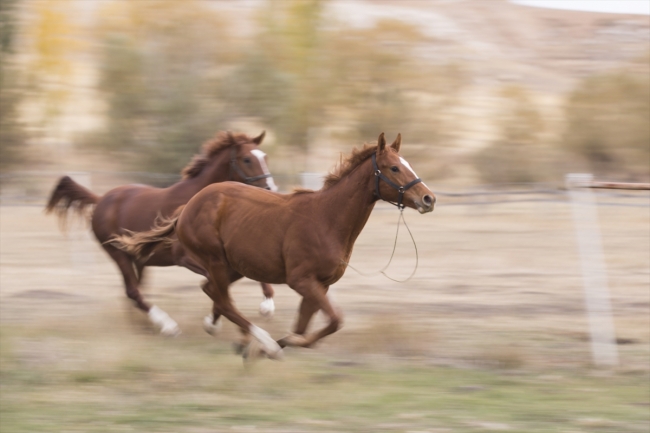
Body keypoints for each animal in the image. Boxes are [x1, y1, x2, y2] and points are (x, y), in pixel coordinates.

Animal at [44, 130, 278, 336]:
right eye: (247, 159)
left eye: (265, 156)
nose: (271, 190)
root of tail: (101, 199)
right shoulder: (188, 259)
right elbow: (219, 286)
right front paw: (214, 323)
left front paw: (266, 306)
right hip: (118, 253)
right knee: (133, 291)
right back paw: (167, 327)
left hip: (140, 259)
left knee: (135, 291)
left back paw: (143, 327)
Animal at [113, 132, 432, 358]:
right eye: (394, 168)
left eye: (407, 164)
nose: (428, 198)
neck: (326, 219)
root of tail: (190, 204)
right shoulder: (302, 280)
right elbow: (334, 321)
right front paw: (274, 345)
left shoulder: (320, 285)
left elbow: (305, 327)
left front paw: (280, 343)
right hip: (215, 260)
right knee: (224, 300)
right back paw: (260, 340)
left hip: (234, 265)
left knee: (211, 290)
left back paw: (223, 330)